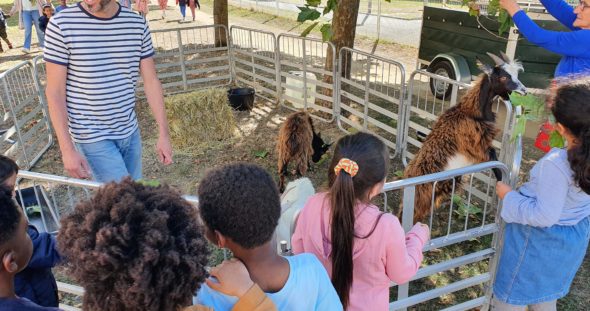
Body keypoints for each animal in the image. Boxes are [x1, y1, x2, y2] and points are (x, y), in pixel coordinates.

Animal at [402, 53, 528, 224]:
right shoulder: (478, 147)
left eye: (516, 74)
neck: (471, 111)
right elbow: (497, 165)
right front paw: (504, 186)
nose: (524, 91)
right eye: (503, 77)